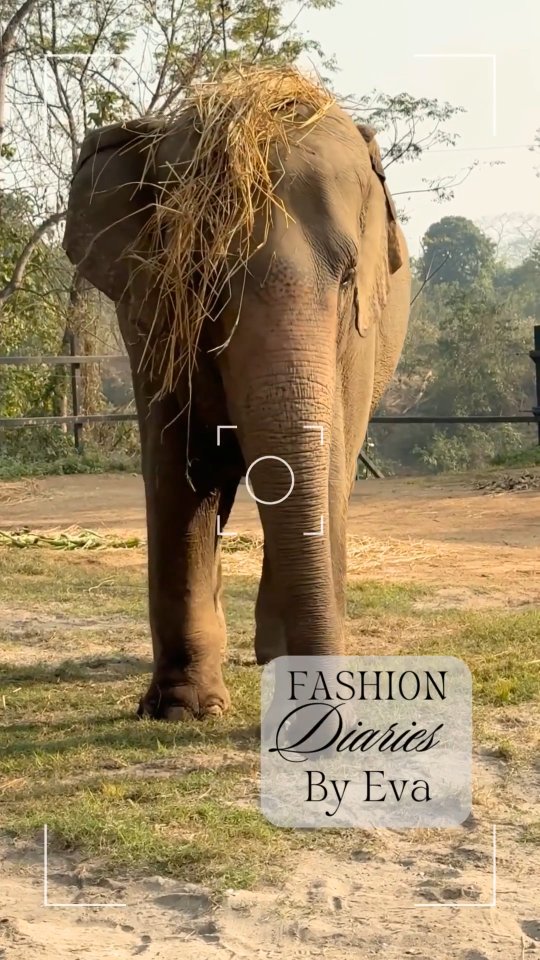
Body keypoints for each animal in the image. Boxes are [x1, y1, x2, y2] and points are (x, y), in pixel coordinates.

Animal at [62, 68, 411, 722]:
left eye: (349, 277)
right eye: (200, 275)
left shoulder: (359, 338)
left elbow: (325, 465)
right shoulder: (150, 312)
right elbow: (184, 467)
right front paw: (182, 710)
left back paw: (273, 653)